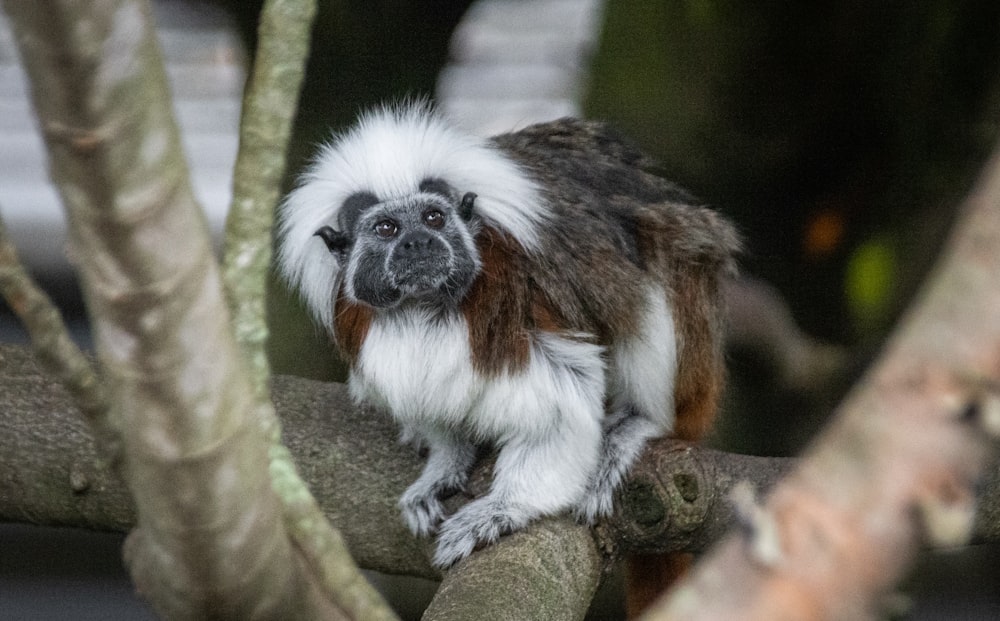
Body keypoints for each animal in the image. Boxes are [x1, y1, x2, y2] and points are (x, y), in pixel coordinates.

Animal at [278, 101, 740, 572]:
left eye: (433, 218)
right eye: (386, 228)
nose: (418, 243)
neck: (422, 310)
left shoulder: (516, 305)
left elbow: (562, 407)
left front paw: (501, 509)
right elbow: (423, 393)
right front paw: (446, 461)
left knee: (659, 260)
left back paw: (636, 422)